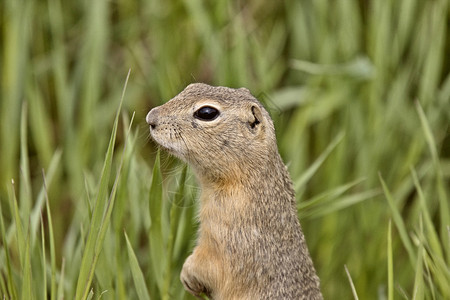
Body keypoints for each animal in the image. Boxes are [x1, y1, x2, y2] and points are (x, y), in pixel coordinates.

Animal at [146, 83, 322, 298]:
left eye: (207, 113)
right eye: (192, 86)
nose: (151, 117)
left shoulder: (225, 233)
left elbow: (209, 265)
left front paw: (187, 272)